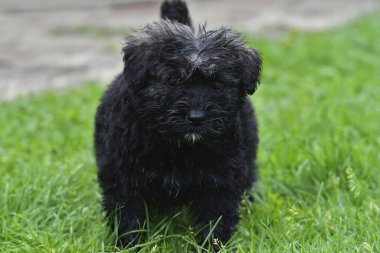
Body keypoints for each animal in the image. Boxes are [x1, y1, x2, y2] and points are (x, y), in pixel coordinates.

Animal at [94, 0, 262, 249]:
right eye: (173, 81)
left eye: (217, 83)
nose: (196, 117)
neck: (179, 146)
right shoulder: (121, 175)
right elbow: (127, 215)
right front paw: (128, 245)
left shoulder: (222, 177)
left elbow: (216, 218)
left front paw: (213, 246)